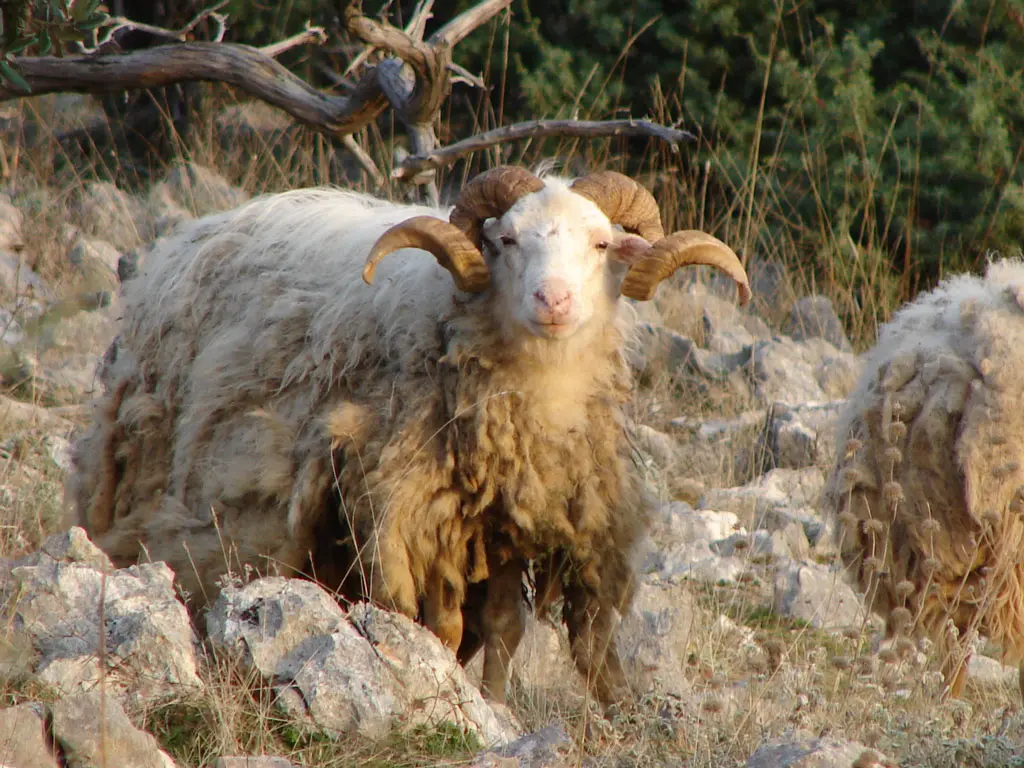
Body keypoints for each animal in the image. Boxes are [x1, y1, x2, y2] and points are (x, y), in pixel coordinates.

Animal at [67, 165, 752, 707]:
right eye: (506, 240)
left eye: (603, 242)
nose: (552, 299)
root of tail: (183, 239)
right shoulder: (416, 512)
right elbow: (441, 628)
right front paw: (455, 693)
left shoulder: (511, 514)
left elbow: (504, 627)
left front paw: (495, 701)